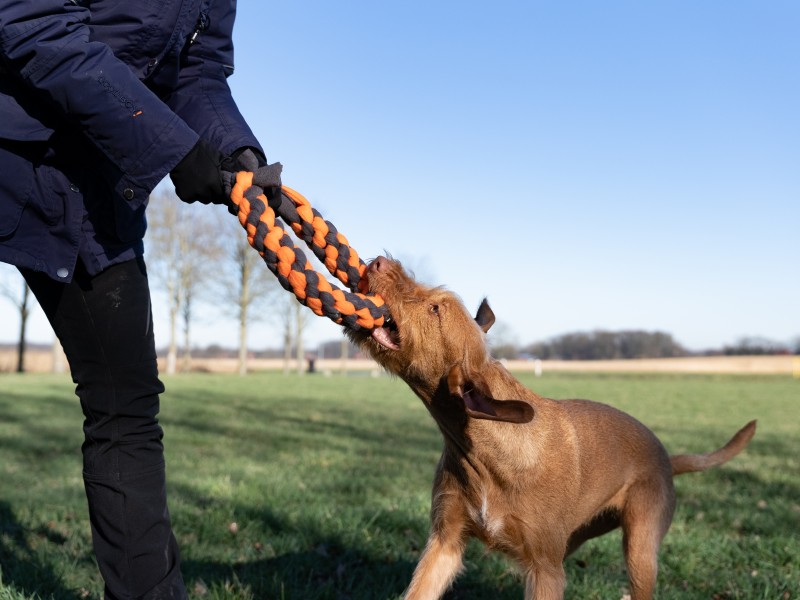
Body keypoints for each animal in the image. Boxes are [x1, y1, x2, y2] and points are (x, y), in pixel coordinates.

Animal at [346, 256, 756, 600]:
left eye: (435, 308)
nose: (378, 261)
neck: (483, 450)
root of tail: (668, 459)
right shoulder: (445, 542)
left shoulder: (545, 571)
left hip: (640, 551)